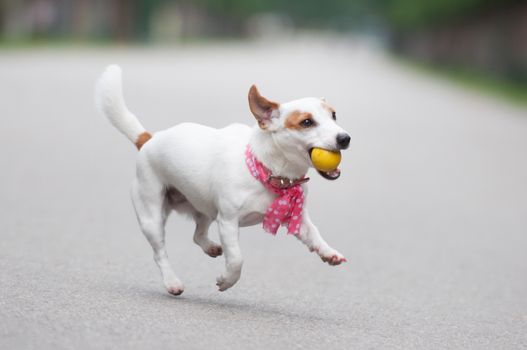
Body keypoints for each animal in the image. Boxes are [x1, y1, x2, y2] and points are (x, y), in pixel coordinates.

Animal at [95, 65, 350, 296]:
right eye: (306, 122)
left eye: (334, 115)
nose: (345, 138)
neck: (266, 170)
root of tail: (149, 139)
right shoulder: (228, 222)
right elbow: (236, 259)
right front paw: (226, 281)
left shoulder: (296, 218)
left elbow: (314, 235)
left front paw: (328, 253)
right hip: (152, 217)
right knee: (160, 253)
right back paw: (172, 282)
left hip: (205, 210)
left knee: (197, 235)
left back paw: (210, 248)